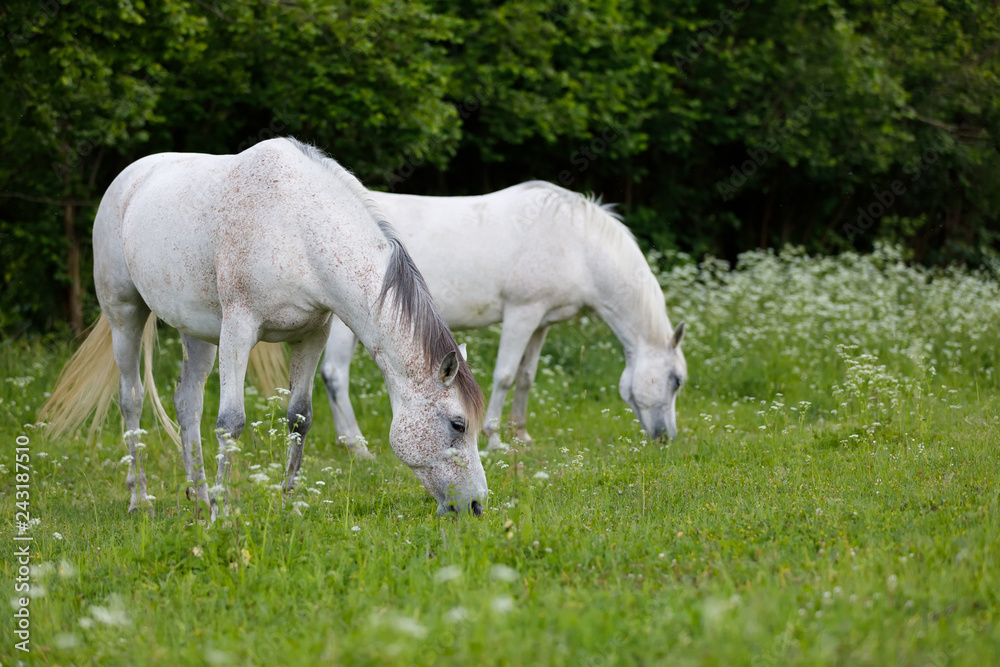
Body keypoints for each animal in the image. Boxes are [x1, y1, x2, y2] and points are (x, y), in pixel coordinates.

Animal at [39, 137, 488, 516]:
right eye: (458, 424)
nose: (476, 506)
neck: (298, 230)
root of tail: (127, 180)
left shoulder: (312, 335)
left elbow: (299, 418)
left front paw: (287, 503)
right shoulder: (239, 329)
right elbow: (230, 423)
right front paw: (222, 515)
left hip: (196, 332)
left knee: (187, 402)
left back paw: (199, 497)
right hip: (125, 315)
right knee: (131, 399)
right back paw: (142, 500)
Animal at [322, 180, 688, 456]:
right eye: (676, 381)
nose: (667, 437)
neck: (577, 244)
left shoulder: (541, 322)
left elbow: (526, 376)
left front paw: (521, 434)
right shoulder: (521, 314)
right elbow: (505, 375)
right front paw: (495, 438)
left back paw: (343, 443)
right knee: (335, 374)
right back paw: (358, 447)